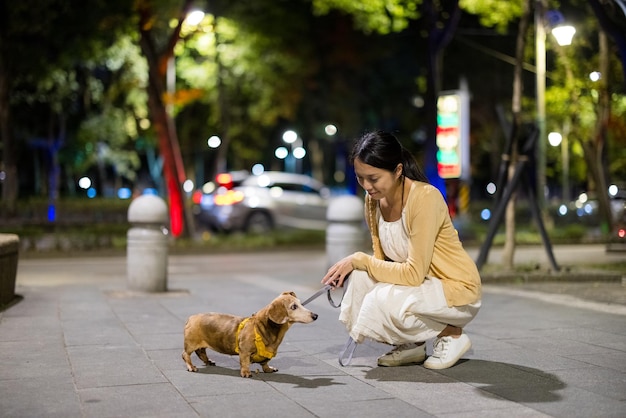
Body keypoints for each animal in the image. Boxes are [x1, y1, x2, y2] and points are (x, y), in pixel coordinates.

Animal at [180, 290, 316, 378]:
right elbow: (245, 362)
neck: (262, 327)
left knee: (201, 353)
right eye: (293, 307)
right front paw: (246, 373)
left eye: (301, 303)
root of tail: (191, 318)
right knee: (185, 354)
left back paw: (209, 361)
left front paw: (268, 369)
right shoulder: (244, 351)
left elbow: (265, 362)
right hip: (191, 344)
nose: (315, 315)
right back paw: (191, 367)